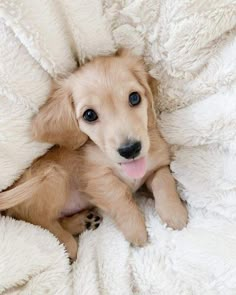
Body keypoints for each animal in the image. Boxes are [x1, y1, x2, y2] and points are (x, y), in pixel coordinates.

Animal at [0, 50, 188, 262]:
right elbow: (120, 196)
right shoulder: (98, 178)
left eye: (134, 98)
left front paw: (174, 212)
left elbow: (164, 181)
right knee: (39, 219)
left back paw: (83, 221)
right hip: (53, 175)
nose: (130, 149)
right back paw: (67, 243)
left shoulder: (157, 166)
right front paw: (136, 230)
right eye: (89, 115)